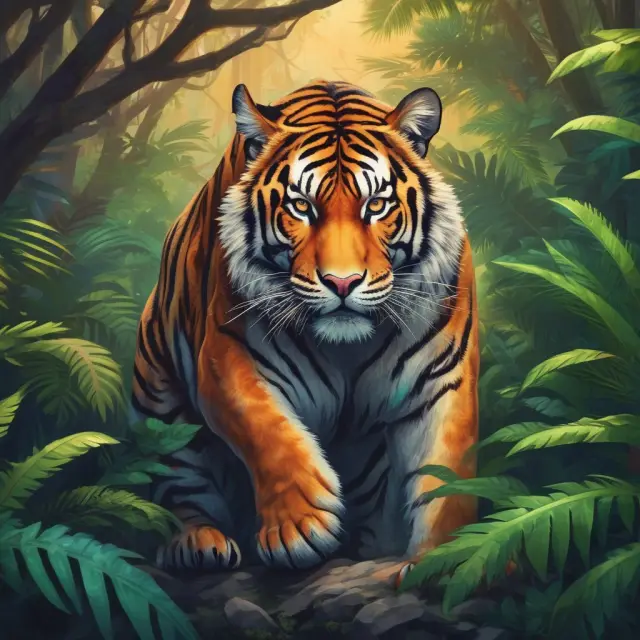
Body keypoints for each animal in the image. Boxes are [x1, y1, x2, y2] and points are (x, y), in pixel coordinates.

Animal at [131, 80, 479, 582]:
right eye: (301, 206)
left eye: (376, 205)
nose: (342, 282)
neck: (348, 350)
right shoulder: (227, 359)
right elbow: (270, 433)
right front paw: (301, 527)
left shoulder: (441, 380)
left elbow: (446, 476)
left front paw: (450, 559)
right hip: (158, 404)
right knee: (180, 485)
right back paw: (198, 544)